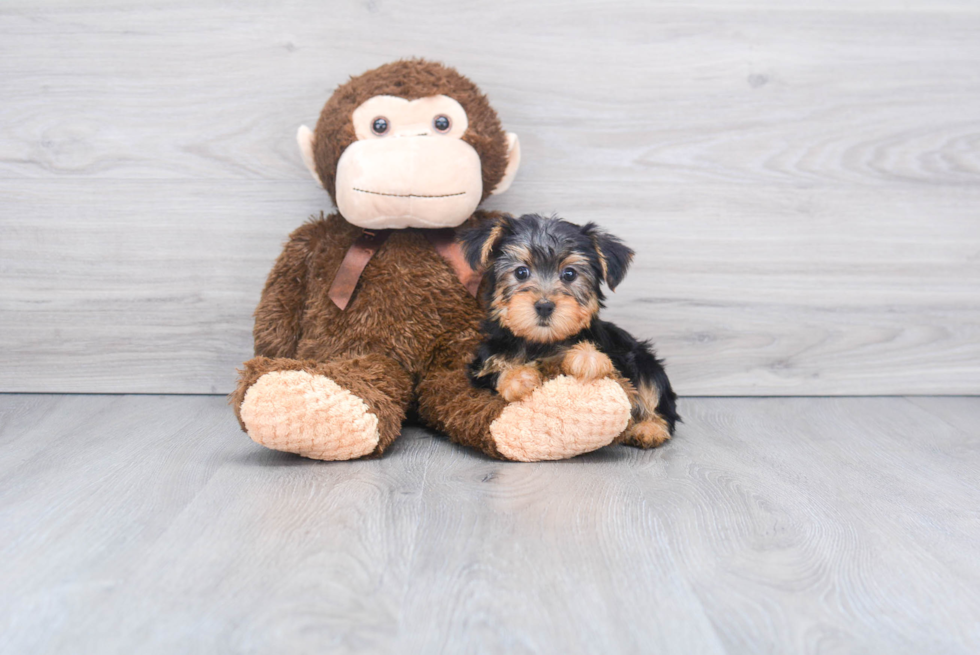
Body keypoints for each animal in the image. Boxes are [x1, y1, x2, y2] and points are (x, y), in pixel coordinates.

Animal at [462, 213, 680, 448]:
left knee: (655, 394)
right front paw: (518, 378)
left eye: (569, 274)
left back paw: (649, 429)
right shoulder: (483, 363)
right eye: (521, 272)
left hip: (643, 360)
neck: (541, 342)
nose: (544, 306)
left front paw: (586, 358)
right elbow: (496, 371)